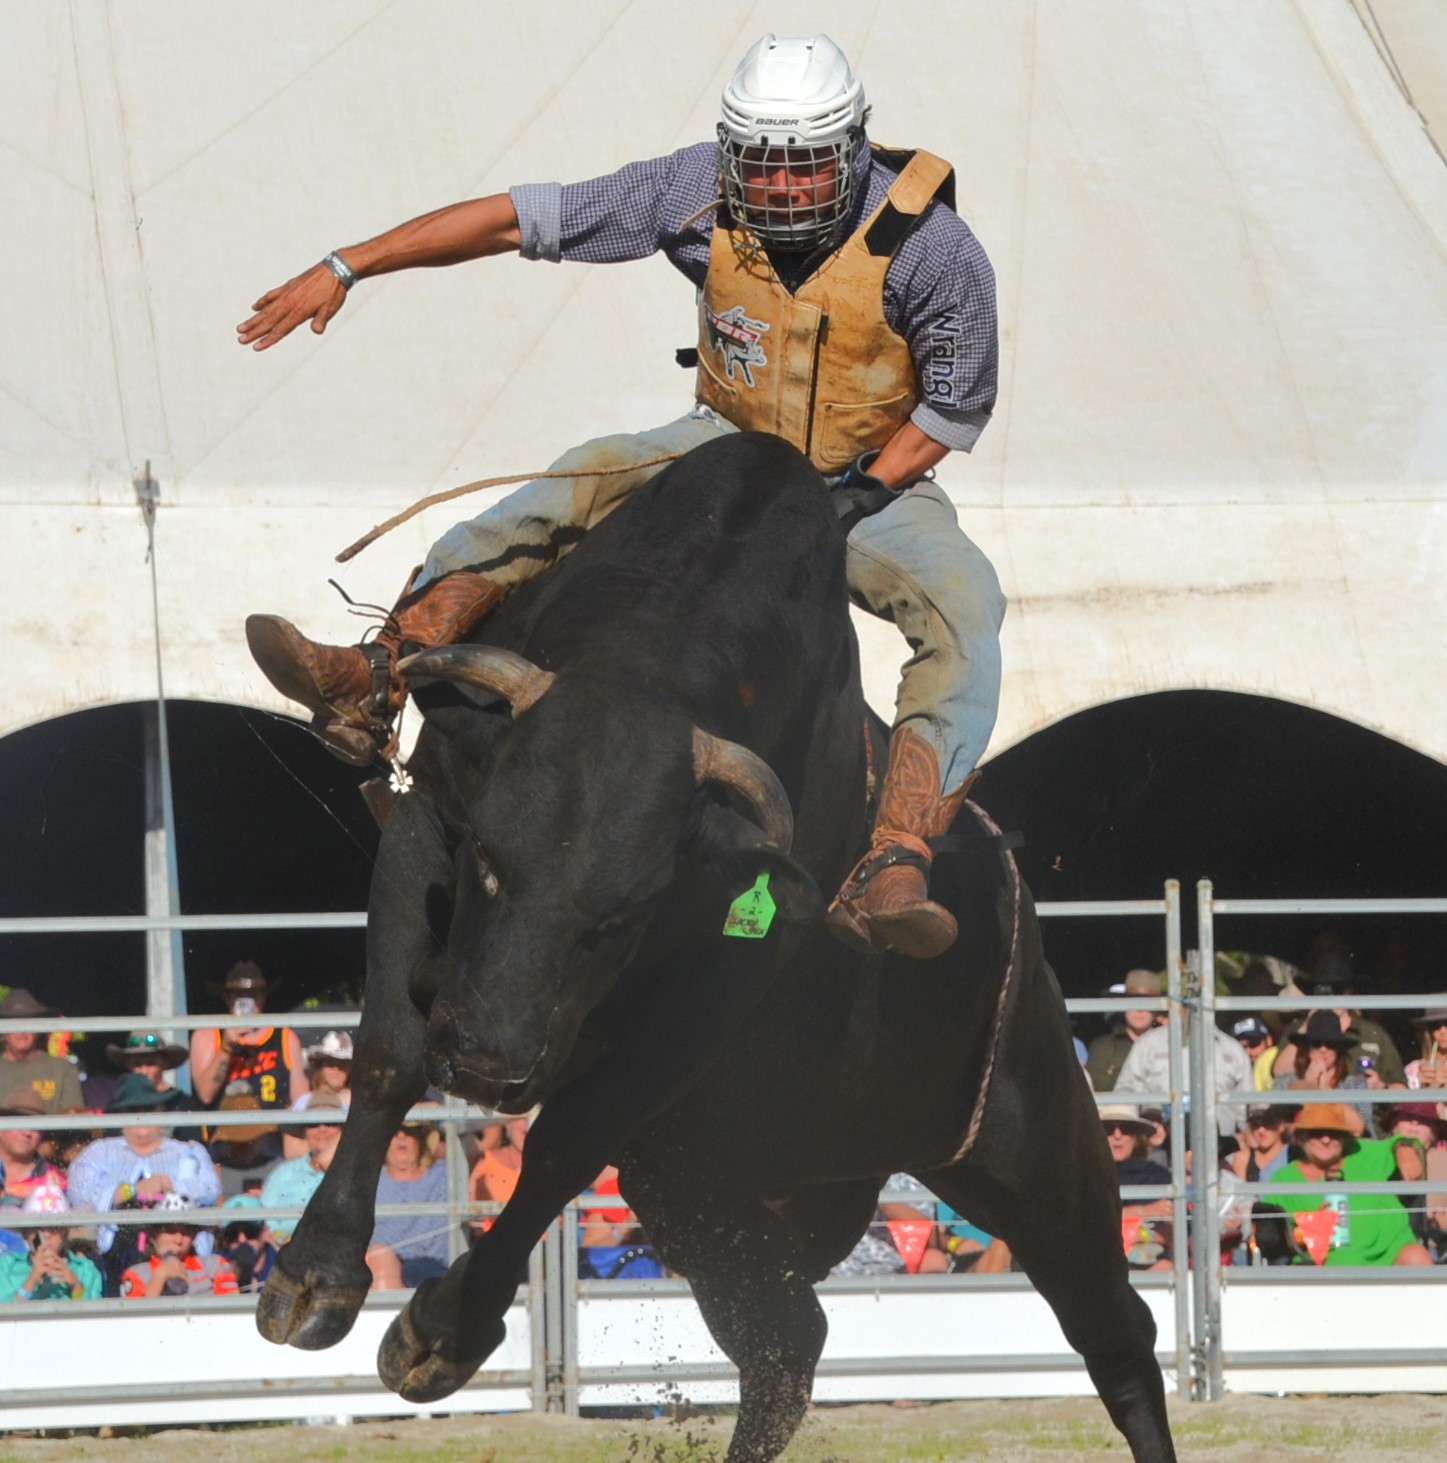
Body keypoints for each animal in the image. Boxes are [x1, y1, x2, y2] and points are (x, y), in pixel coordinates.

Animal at [257, 433, 1176, 1463]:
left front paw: (443, 1330)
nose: (487, 1063)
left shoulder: (727, 971)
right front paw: (315, 1273)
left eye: (624, 914)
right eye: (488, 861)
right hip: (695, 1187)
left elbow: (565, 1143)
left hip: (1041, 1153)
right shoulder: (424, 825)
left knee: (1113, 1329)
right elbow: (387, 1053)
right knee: (785, 1344)